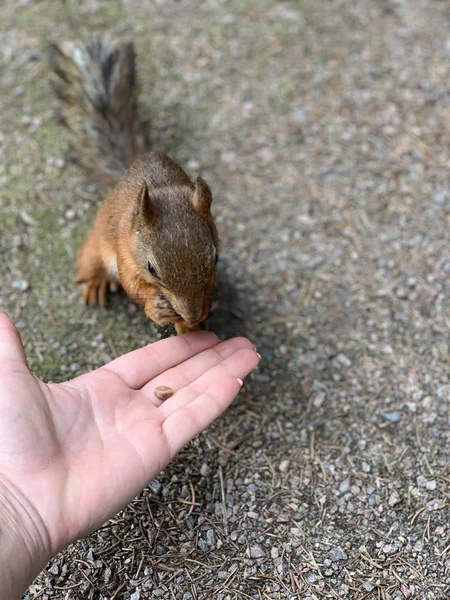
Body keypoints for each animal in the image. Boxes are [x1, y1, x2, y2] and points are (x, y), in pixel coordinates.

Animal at [48, 36, 219, 338]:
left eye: (216, 259)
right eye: (151, 268)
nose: (190, 313)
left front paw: (197, 321)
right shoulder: (125, 251)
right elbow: (132, 283)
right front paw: (157, 310)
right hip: (96, 245)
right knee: (91, 262)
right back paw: (96, 283)